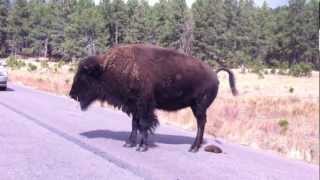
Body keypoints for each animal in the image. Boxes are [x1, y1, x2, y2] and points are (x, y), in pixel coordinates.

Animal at [70, 43, 238, 152]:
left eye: (84, 74)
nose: (72, 94)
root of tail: (214, 74)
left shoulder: (144, 106)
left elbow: (144, 124)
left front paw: (142, 147)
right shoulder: (134, 106)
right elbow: (134, 125)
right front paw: (129, 144)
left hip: (199, 107)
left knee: (201, 124)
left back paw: (193, 148)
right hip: (196, 107)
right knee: (201, 124)